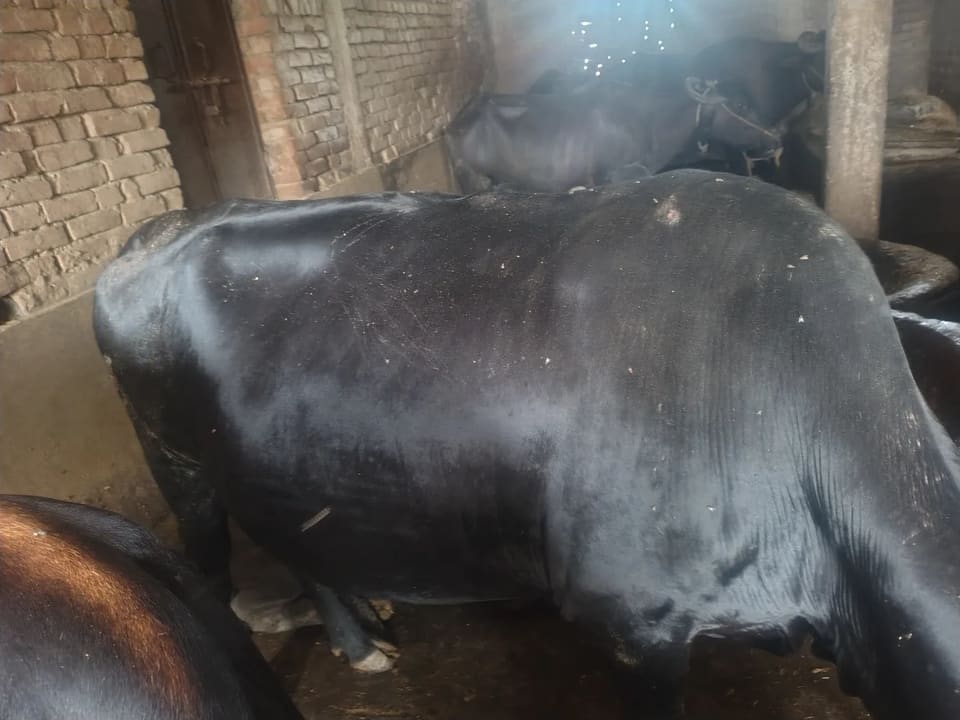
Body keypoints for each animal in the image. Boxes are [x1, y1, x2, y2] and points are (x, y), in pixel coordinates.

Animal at [94, 171, 960, 719]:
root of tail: (154, 232)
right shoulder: (633, 621)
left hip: (283, 465)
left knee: (304, 546)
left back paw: (365, 627)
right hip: (176, 462)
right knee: (211, 560)